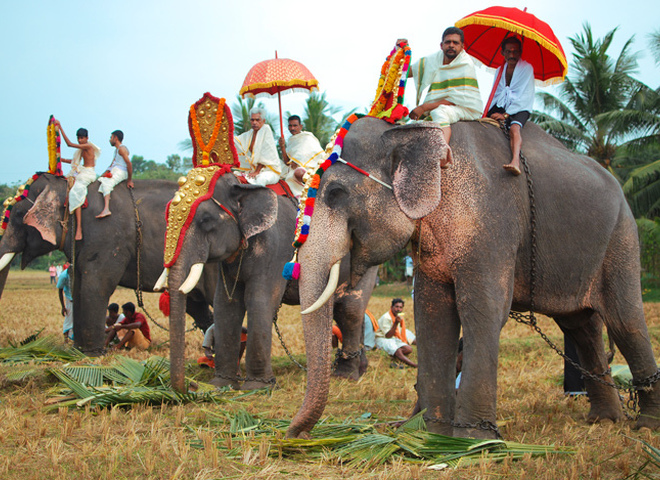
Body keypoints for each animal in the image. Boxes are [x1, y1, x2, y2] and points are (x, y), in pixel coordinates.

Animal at [0, 172, 217, 352]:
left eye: (18, 215)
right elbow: (78, 288)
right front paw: (78, 352)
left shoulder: (107, 239)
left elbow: (97, 286)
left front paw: (93, 354)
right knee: (196, 306)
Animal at [286, 116, 660, 438]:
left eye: (335, 193)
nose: (294, 434)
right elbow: (432, 314)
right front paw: (432, 434)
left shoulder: (490, 223)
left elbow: (482, 310)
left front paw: (471, 440)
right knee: (581, 325)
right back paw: (605, 420)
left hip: (622, 237)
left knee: (624, 320)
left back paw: (645, 426)